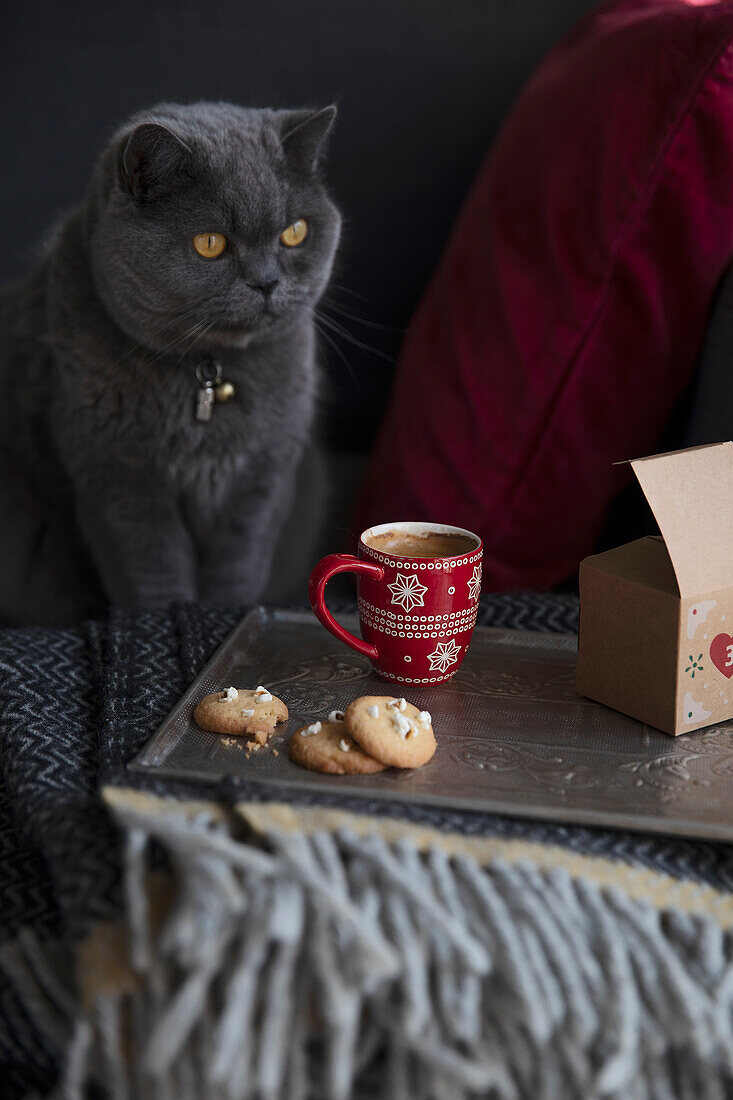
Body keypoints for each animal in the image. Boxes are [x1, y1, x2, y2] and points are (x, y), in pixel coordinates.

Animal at [0, 103, 341, 629]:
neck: (209, 372)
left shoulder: (262, 478)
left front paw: (223, 615)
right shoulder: (120, 482)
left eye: (294, 232)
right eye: (210, 243)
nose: (266, 282)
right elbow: (154, 577)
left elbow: (237, 572)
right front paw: (168, 620)